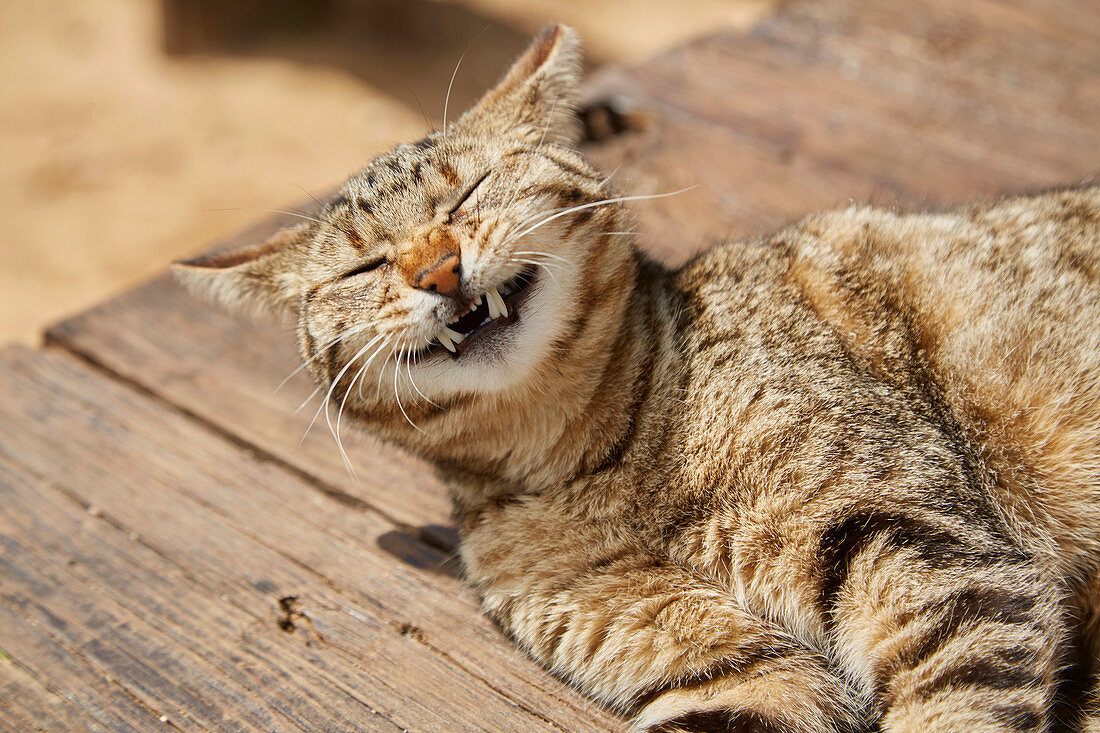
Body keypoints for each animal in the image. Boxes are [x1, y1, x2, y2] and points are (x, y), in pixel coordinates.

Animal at [173, 22, 1100, 730]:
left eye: (468, 194)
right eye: (363, 268)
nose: (436, 270)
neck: (592, 462)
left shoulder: (926, 544)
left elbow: (954, 702)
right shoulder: (731, 668)